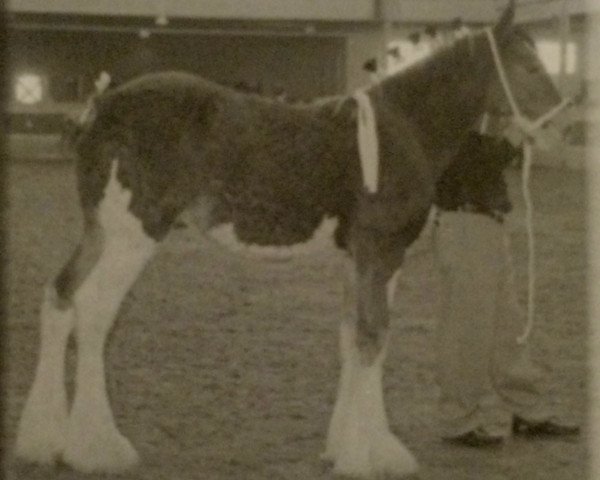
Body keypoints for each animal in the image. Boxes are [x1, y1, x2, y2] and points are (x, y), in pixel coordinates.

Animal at [15, 2, 564, 476]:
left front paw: (349, 447)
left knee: (60, 297)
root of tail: (103, 104)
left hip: (100, 232)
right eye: (531, 65)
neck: (403, 128)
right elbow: (373, 338)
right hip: (133, 236)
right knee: (94, 314)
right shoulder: (382, 251)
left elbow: (354, 338)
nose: (561, 120)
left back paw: (43, 440)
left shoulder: (361, 258)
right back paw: (97, 448)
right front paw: (368, 455)